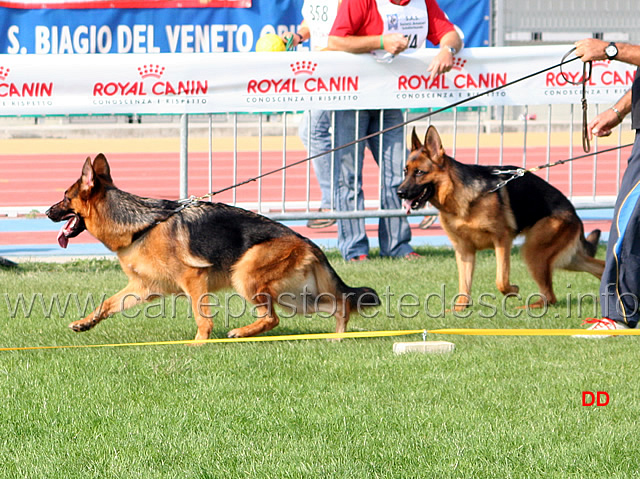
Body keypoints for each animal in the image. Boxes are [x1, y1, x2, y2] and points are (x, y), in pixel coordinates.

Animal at [47, 155, 378, 342]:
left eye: (64, 197)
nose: (47, 212)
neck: (140, 226)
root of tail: (306, 241)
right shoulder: (143, 288)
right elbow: (106, 304)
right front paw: (85, 323)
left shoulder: (194, 280)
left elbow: (201, 317)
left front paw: (199, 343)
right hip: (295, 297)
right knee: (339, 305)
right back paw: (336, 338)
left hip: (245, 275)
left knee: (273, 318)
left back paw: (241, 333)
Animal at [398, 125, 604, 310]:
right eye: (405, 171)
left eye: (419, 172)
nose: (399, 193)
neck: (457, 195)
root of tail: (574, 213)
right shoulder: (464, 251)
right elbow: (464, 285)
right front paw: (459, 309)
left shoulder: (502, 240)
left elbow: (501, 280)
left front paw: (513, 290)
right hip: (566, 258)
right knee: (598, 267)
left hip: (534, 251)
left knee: (550, 296)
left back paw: (529, 306)